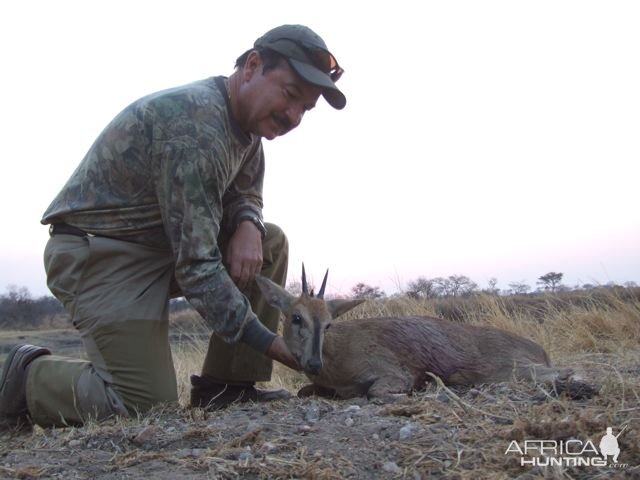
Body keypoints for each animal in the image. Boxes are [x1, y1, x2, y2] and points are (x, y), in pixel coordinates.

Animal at [258, 268, 568, 400]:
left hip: (510, 371)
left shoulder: (394, 374)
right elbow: (303, 391)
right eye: (296, 318)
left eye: (328, 324)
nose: (313, 363)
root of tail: (539, 348)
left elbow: (376, 392)